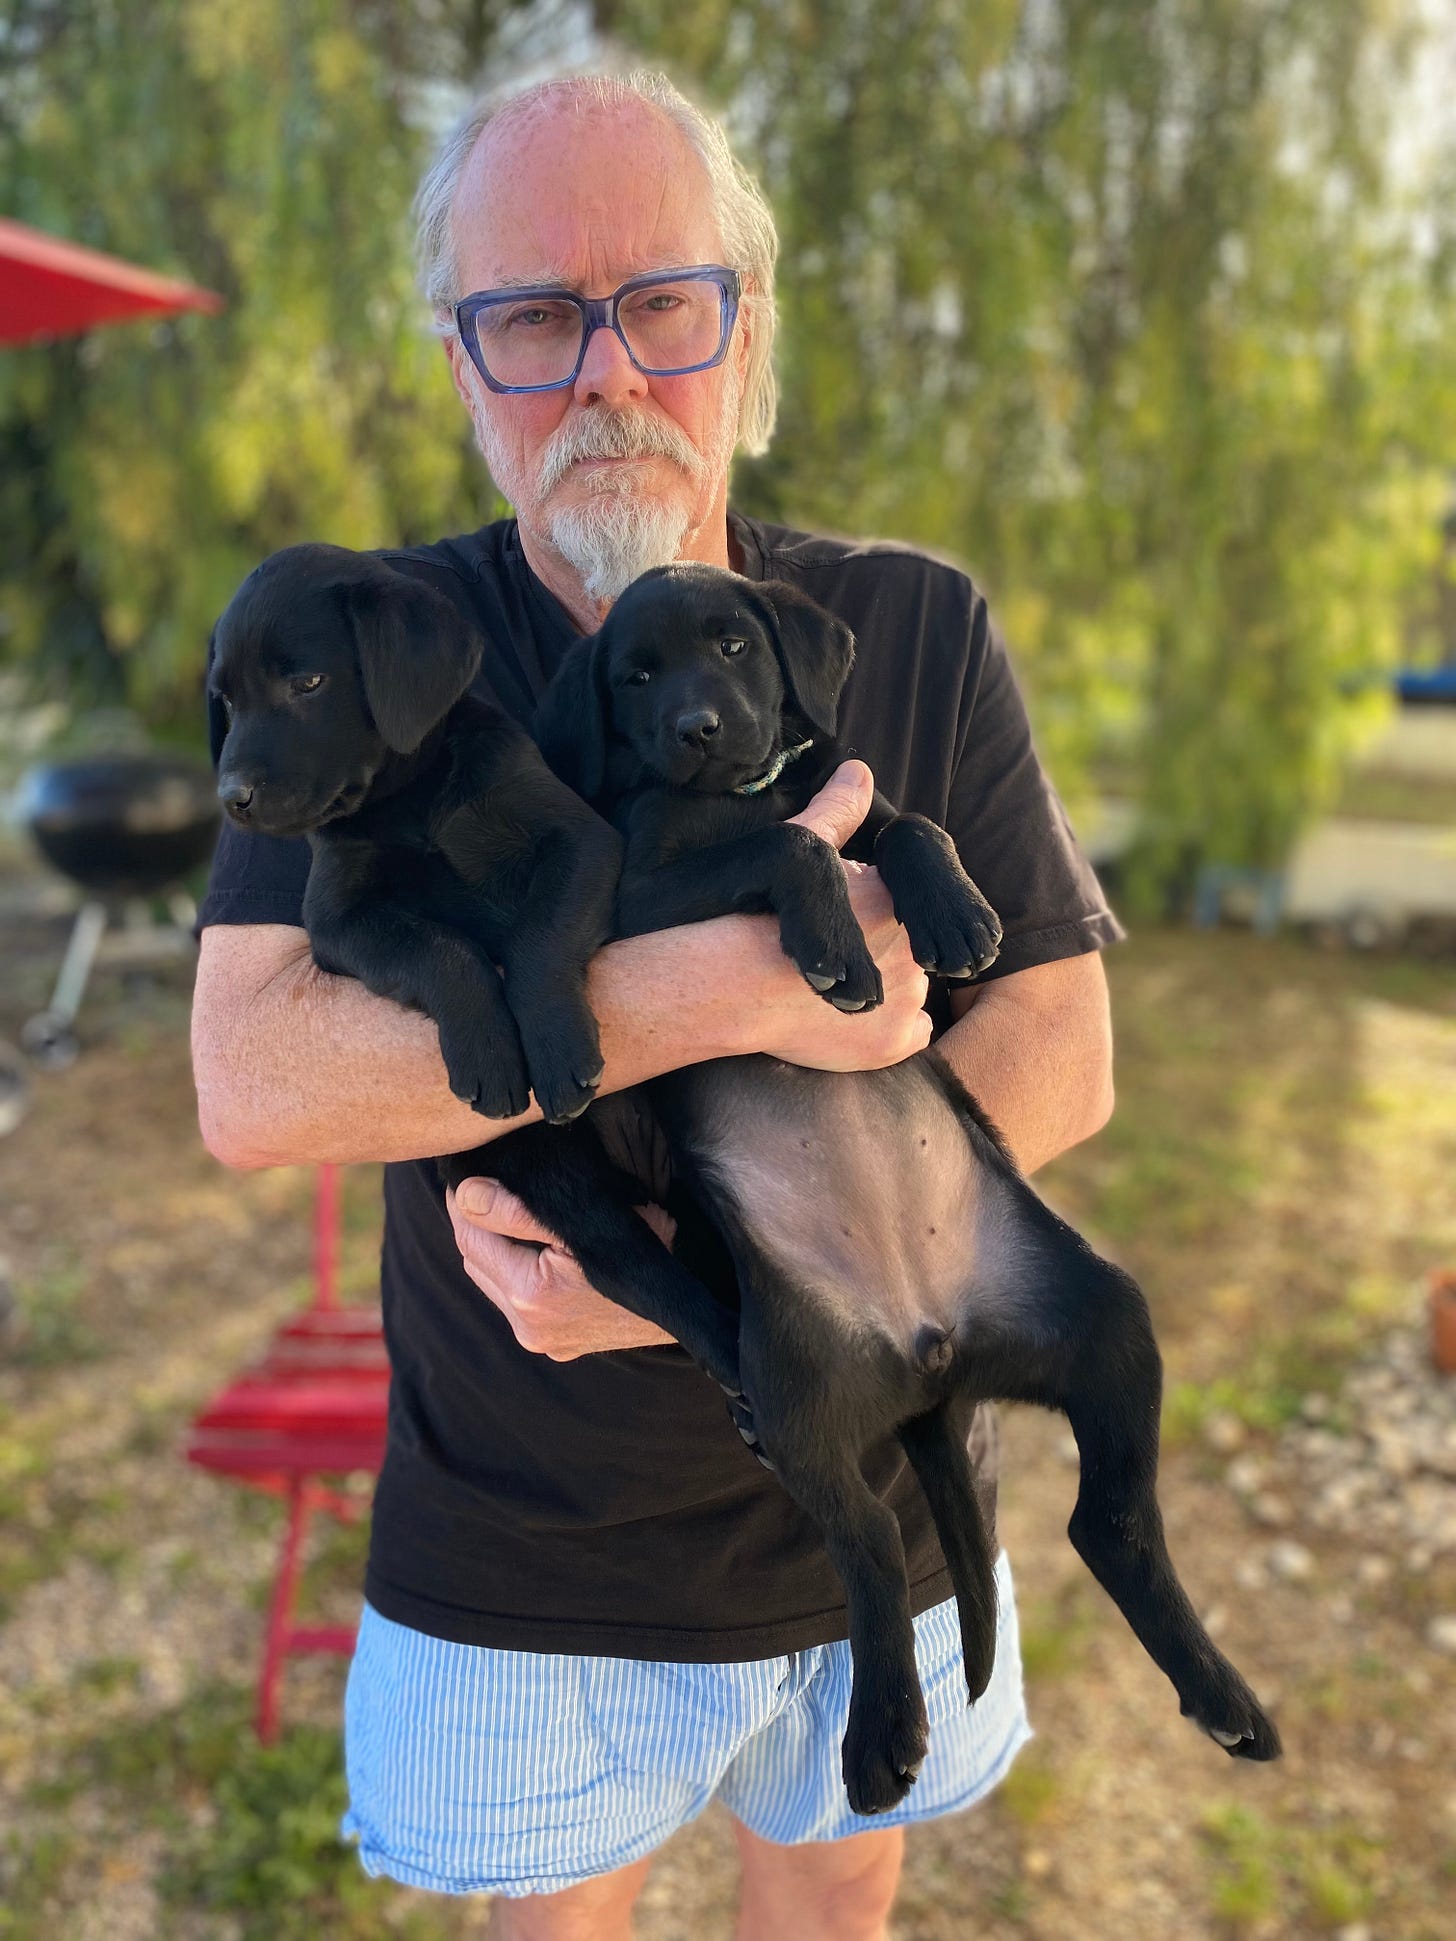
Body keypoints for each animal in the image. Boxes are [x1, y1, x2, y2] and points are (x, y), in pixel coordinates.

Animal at [210, 543, 628, 1125]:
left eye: (308, 684)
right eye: (226, 700)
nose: (232, 798)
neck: (412, 796)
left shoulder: (580, 840)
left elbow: (540, 937)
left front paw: (557, 1048)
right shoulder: (339, 919)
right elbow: (439, 950)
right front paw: (487, 1054)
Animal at [450, 566, 1281, 1816]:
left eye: (734, 646)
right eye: (634, 676)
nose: (696, 729)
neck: (739, 792)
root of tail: (928, 1352)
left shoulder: (857, 799)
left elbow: (907, 825)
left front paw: (954, 914)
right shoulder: (636, 893)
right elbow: (792, 850)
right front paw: (840, 950)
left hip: (1103, 1312)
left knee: (1109, 1522)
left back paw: (1222, 1696)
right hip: (797, 1391)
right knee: (874, 1545)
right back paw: (881, 1736)